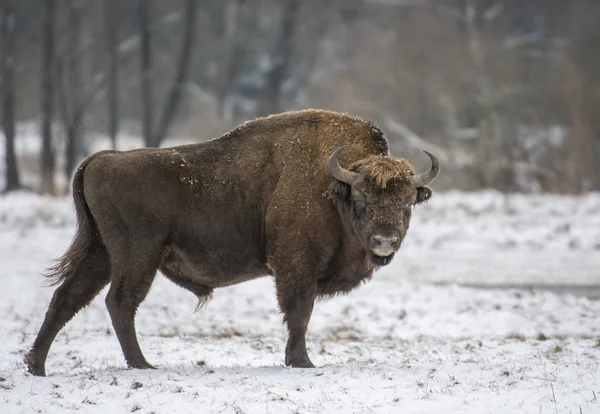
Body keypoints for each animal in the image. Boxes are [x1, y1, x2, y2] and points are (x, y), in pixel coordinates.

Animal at [25, 110, 438, 376]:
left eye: (407, 202)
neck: (332, 186)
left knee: (68, 299)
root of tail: (100, 159)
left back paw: (36, 366)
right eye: (361, 199)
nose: (384, 241)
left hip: (101, 253)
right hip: (137, 255)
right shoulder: (295, 266)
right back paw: (142, 364)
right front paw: (301, 361)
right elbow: (299, 312)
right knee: (120, 302)